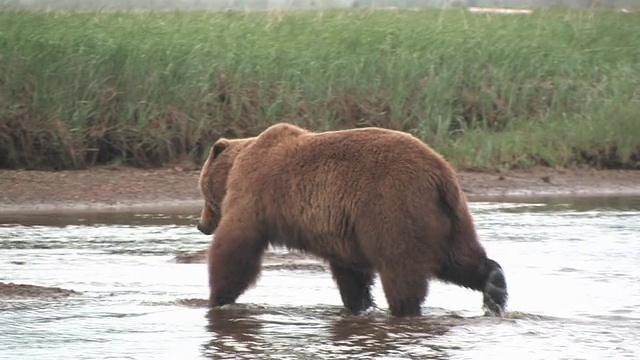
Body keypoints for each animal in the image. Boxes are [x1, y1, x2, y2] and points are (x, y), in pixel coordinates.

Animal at [198, 124, 508, 318]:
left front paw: (216, 299)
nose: (201, 225)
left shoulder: (255, 194)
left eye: (202, 190)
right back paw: (495, 285)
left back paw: (405, 310)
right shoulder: (342, 231)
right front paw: (358, 305)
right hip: (447, 216)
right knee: (457, 258)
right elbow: (351, 273)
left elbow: (236, 246)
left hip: (394, 205)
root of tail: (440, 172)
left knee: (401, 268)